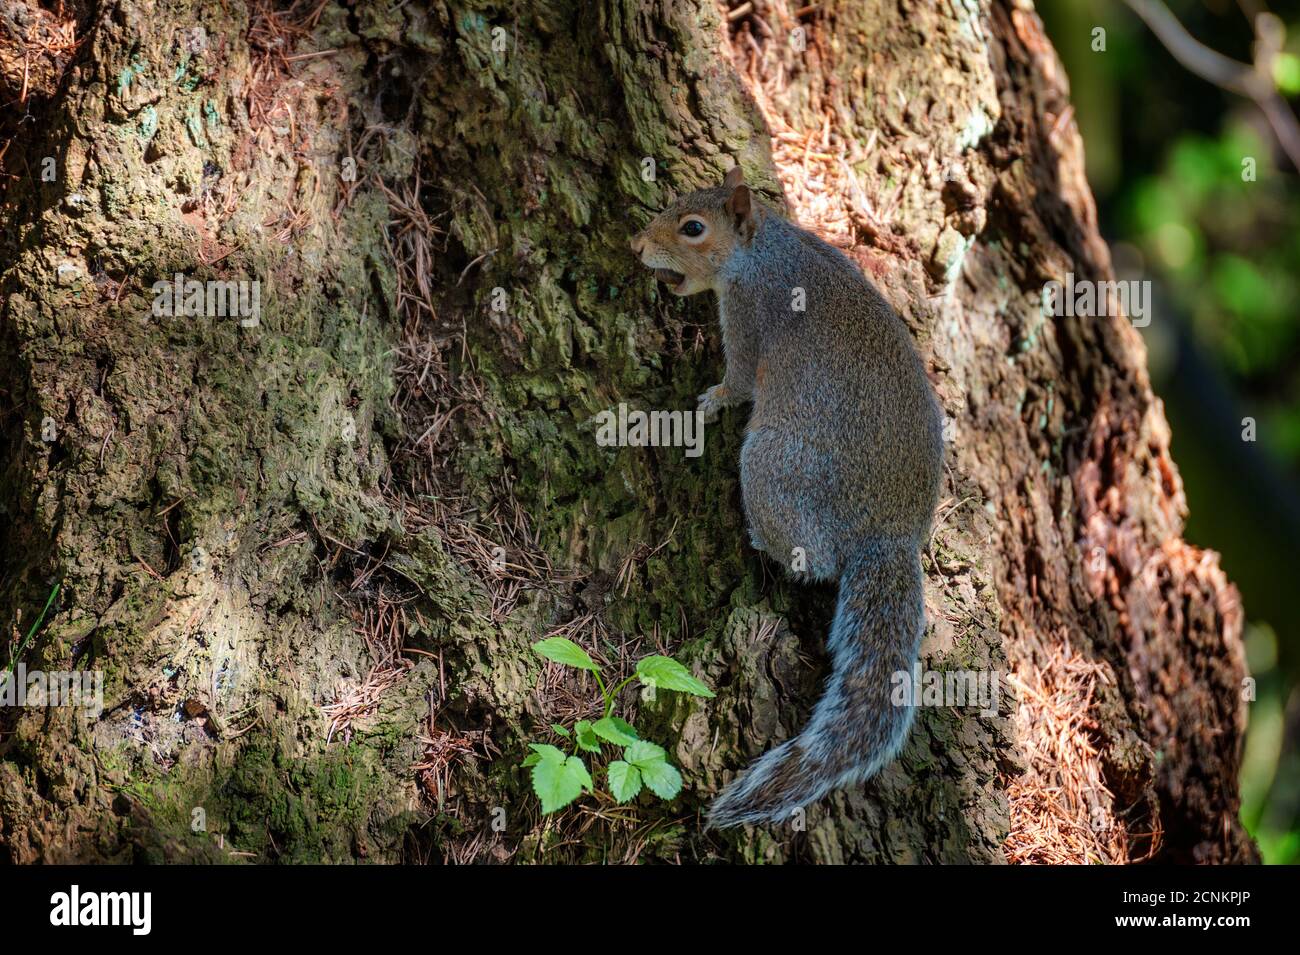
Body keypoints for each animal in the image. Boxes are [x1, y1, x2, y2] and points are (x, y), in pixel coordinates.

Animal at [631, 167, 946, 826]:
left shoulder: (748, 317)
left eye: (692, 228)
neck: (761, 252)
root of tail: (891, 533)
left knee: (815, 562)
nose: (637, 247)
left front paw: (713, 398)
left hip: (773, 466)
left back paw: (761, 539)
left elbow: (741, 378)